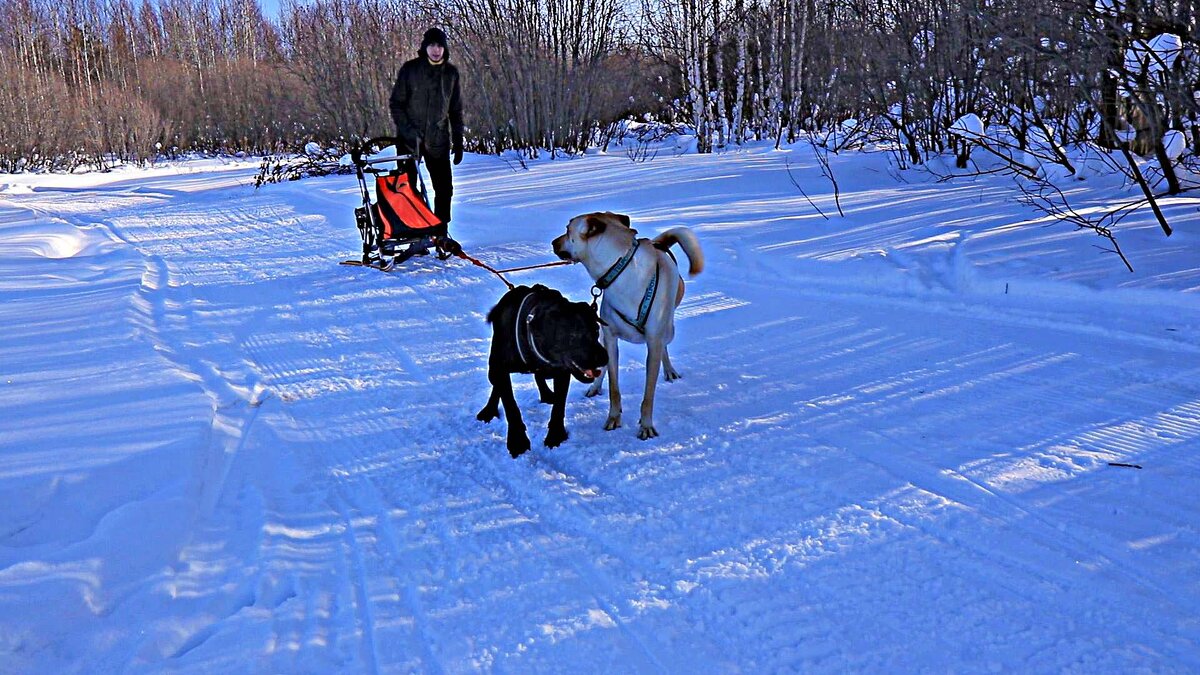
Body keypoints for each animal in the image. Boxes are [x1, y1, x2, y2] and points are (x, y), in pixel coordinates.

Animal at [477, 281, 609, 454]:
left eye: (596, 330)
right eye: (573, 334)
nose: (605, 357)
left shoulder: (562, 372)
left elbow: (559, 407)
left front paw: (556, 435)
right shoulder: (500, 368)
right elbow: (511, 406)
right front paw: (518, 440)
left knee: (538, 376)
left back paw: (546, 394)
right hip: (493, 368)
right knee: (497, 386)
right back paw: (489, 410)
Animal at [552, 211, 700, 441]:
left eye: (568, 230)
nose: (553, 243)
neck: (622, 268)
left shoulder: (653, 342)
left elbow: (648, 394)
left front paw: (646, 425)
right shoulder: (611, 338)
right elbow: (614, 387)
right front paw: (613, 417)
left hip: (668, 330)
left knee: (665, 347)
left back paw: (669, 371)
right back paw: (595, 386)